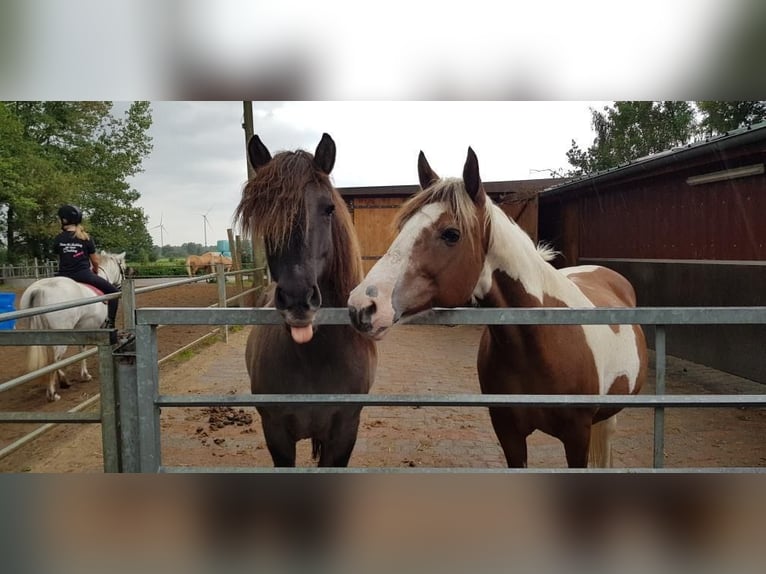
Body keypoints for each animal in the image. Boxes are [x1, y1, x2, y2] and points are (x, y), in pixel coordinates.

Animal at [19, 252, 126, 404]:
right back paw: (53, 393)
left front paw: (84, 375)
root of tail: (40, 289)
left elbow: (82, 349)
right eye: (123, 268)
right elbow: (83, 349)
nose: (121, 286)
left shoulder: (82, 328)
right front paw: (86, 375)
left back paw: (63, 381)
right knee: (55, 359)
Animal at [352, 146, 652, 470]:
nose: (363, 306)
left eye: (451, 234)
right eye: (403, 227)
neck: (543, 342)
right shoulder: (508, 433)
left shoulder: (577, 437)